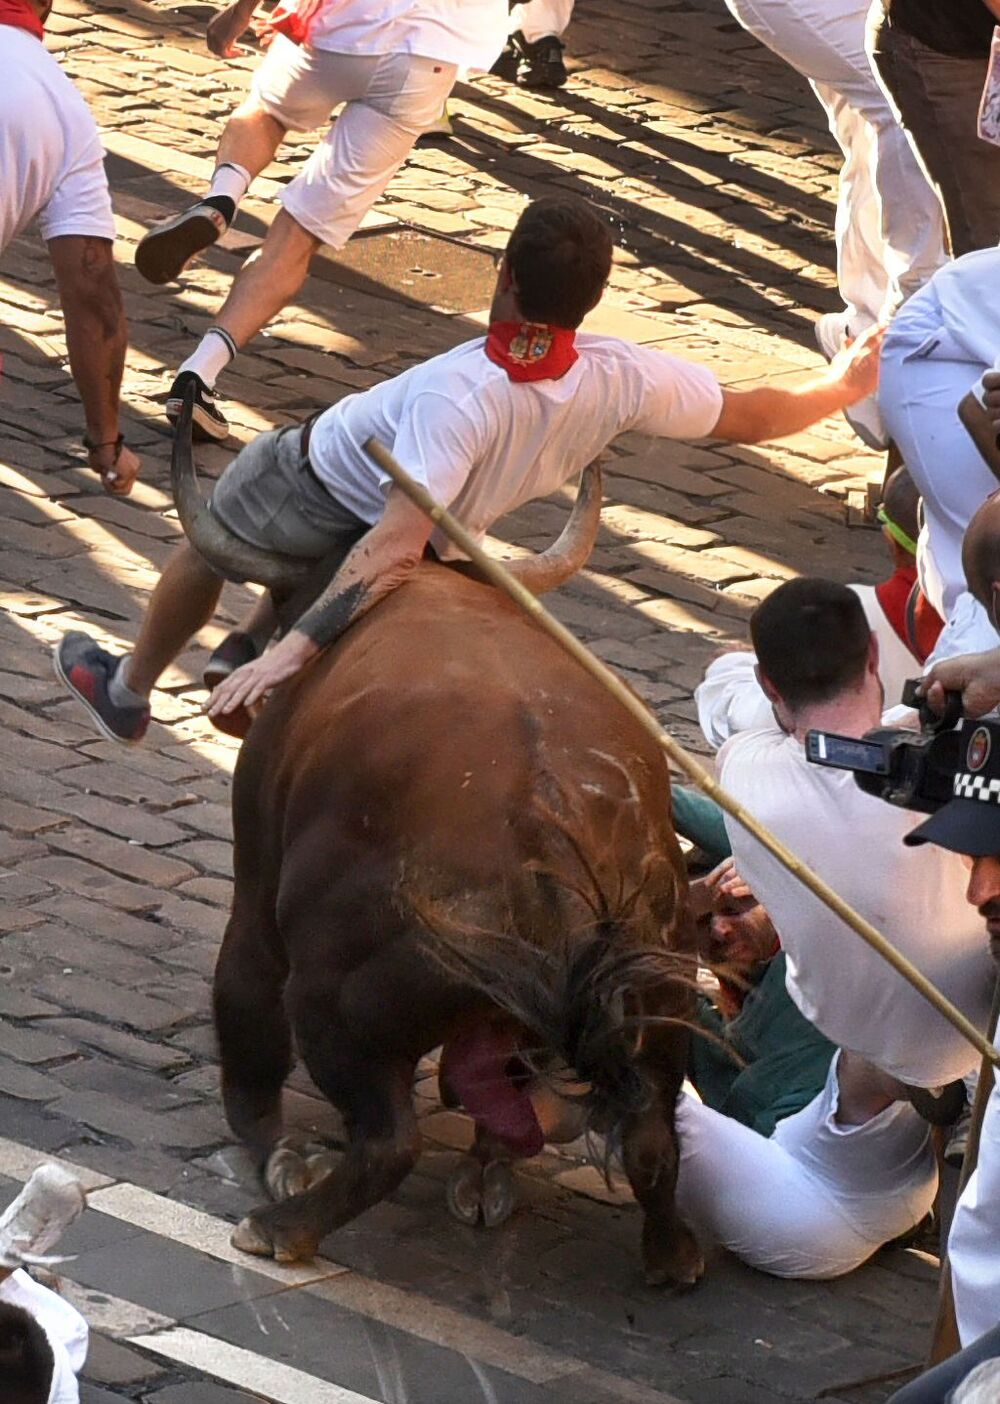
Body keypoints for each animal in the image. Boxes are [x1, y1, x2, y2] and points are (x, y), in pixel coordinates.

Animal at [172, 424, 702, 1286]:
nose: (229, 666)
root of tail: (554, 842)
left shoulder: (256, 893)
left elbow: (247, 1032)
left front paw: (281, 1158)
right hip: (661, 1006)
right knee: (650, 1135)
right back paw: (667, 1251)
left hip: (334, 1006)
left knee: (388, 1140)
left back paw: (282, 1225)